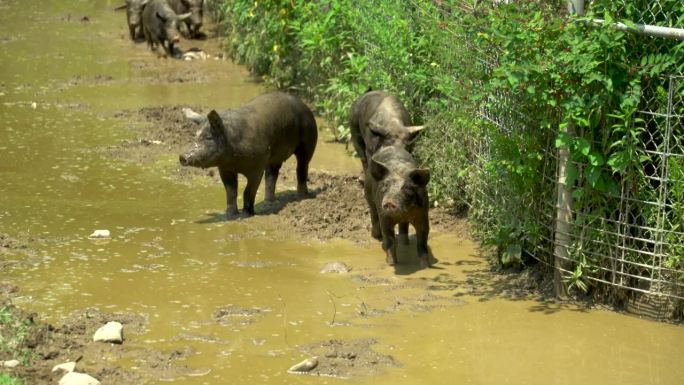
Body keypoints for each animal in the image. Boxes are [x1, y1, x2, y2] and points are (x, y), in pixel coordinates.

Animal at [175, 90, 316, 216]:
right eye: (195, 136)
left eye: (209, 137)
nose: (182, 156)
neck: (234, 159)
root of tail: (304, 104)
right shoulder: (225, 169)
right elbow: (231, 192)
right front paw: (230, 215)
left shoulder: (257, 167)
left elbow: (248, 192)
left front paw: (246, 214)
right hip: (273, 155)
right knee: (272, 174)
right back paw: (268, 203)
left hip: (309, 139)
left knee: (302, 168)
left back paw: (301, 197)